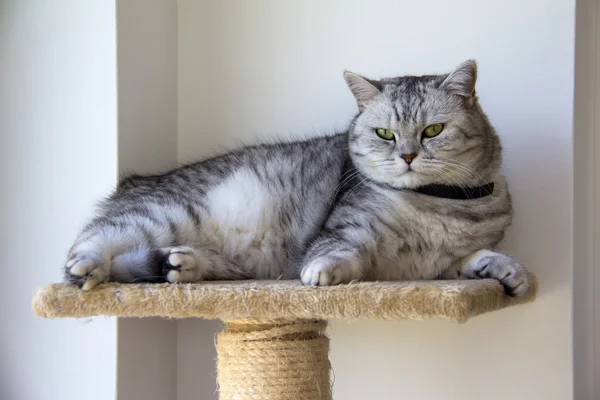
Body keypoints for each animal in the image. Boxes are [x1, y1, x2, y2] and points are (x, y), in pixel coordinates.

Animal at [64, 60, 528, 296]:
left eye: (433, 130)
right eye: (385, 134)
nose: (408, 155)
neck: (439, 204)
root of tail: (134, 183)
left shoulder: (438, 267)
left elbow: (476, 258)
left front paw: (505, 270)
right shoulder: (347, 232)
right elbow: (341, 253)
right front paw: (323, 271)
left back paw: (177, 264)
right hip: (163, 214)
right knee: (89, 244)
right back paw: (87, 267)